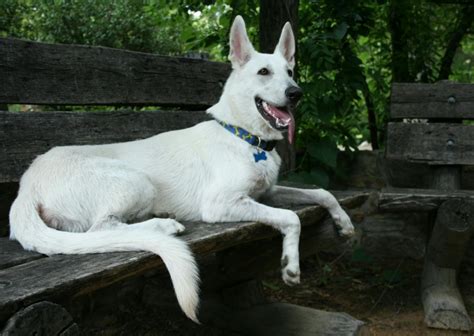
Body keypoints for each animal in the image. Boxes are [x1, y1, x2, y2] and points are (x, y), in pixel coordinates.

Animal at [9, 16, 354, 322]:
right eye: (264, 72)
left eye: (291, 71)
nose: (296, 93)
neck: (243, 135)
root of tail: (27, 185)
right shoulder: (221, 204)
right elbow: (291, 218)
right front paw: (291, 265)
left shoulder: (266, 192)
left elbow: (322, 192)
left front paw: (344, 222)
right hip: (137, 181)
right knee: (102, 229)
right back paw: (163, 225)